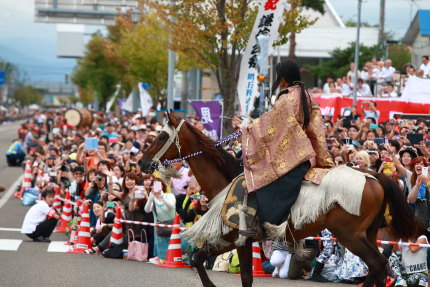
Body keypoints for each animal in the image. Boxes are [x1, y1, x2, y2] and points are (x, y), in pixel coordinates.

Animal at [141, 113, 416, 287]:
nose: (142, 163)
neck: (226, 179)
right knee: (380, 268)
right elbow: (200, 259)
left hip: (350, 234)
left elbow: (241, 275)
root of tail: (373, 176)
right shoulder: (233, 238)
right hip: (367, 234)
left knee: (378, 265)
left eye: (161, 137)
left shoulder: (237, 238)